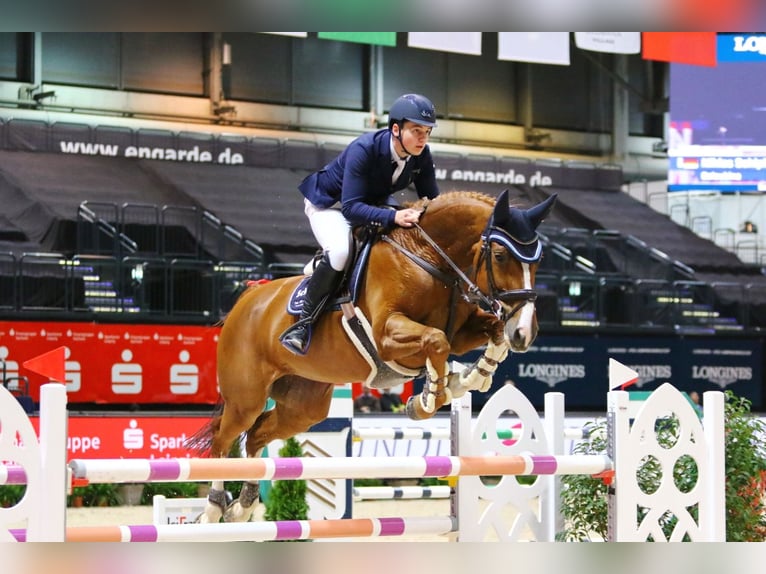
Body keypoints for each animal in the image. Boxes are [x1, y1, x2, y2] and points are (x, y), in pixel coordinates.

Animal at [192, 191, 560, 524]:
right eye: (499, 255)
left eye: (539, 261)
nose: (526, 332)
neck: (429, 257)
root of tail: (246, 299)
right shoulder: (387, 334)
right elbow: (436, 342)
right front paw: (429, 398)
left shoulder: (462, 331)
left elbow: (491, 337)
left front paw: (469, 378)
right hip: (246, 398)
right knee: (224, 439)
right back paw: (213, 508)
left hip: (303, 405)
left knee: (256, 436)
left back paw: (242, 507)